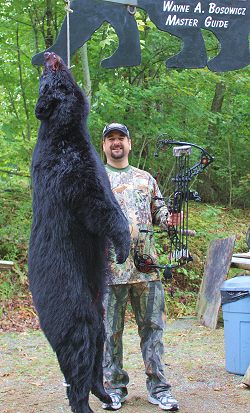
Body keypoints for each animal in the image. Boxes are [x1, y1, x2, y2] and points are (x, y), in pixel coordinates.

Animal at [28, 51, 131, 412]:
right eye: (47, 79)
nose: (48, 55)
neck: (67, 132)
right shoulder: (71, 175)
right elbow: (101, 209)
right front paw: (124, 246)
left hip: (97, 312)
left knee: (97, 352)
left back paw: (104, 393)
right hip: (76, 311)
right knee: (78, 362)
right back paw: (85, 402)